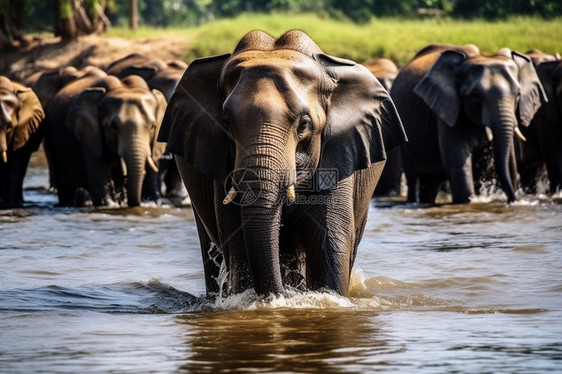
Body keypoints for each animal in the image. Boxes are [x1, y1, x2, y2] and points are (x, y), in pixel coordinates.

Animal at [155, 30, 404, 298]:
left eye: (304, 124)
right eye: (226, 122)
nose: (280, 295)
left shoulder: (338, 157)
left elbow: (329, 240)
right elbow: (238, 241)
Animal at [390, 43, 544, 205]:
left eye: (518, 94)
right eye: (476, 95)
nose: (511, 200)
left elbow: (510, 163)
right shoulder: (448, 110)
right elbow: (458, 165)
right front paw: (468, 202)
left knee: (431, 182)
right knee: (414, 177)